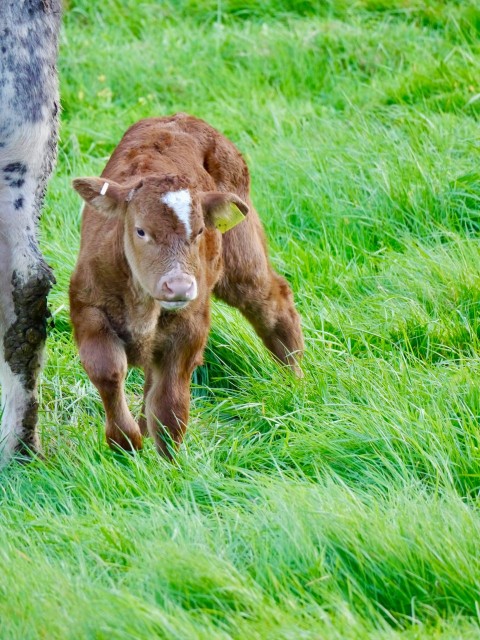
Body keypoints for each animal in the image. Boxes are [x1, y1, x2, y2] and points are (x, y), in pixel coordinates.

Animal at [69, 114, 304, 456]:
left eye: (200, 231)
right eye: (140, 230)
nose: (178, 286)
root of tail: (180, 117)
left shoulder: (190, 324)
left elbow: (170, 402)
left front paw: (169, 462)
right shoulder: (87, 307)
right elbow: (108, 371)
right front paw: (126, 442)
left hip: (242, 255)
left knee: (274, 303)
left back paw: (295, 382)